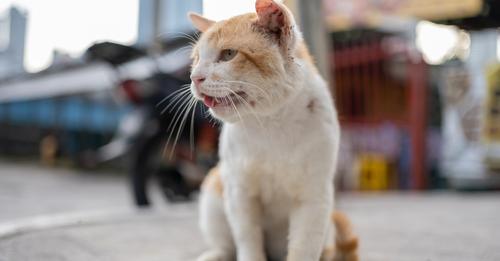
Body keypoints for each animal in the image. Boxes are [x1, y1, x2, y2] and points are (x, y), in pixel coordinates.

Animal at [187, 0, 356, 260]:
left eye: (228, 54)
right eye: (196, 59)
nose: (194, 78)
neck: (272, 122)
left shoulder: (315, 195)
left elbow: (304, 247)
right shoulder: (239, 191)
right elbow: (247, 240)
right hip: (214, 190)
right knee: (225, 245)